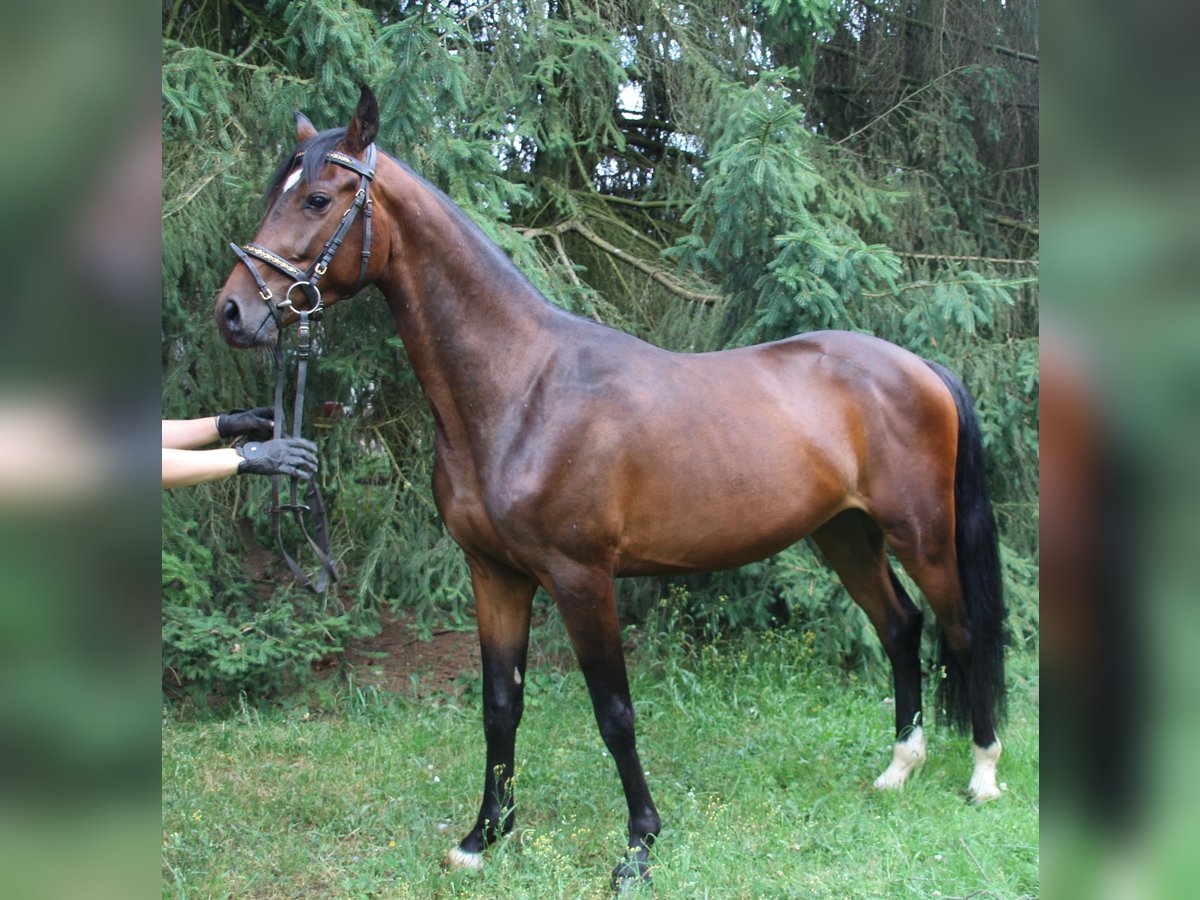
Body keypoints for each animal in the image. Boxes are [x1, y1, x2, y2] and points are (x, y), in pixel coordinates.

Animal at [213, 84, 1003, 888]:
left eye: (316, 198)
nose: (234, 312)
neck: (521, 389)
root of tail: (921, 367)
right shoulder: (494, 574)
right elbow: (500, 706)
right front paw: (483, 837)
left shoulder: (581, 578)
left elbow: (614, 713)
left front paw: (640, 847)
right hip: (845, 533)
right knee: (900, 627)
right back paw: (897, 770)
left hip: (921, 536)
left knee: (965, 630)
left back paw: (982, 775)